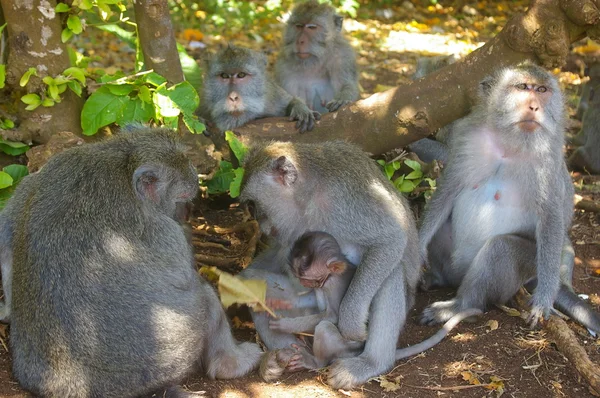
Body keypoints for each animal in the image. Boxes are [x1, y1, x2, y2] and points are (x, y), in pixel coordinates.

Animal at [0, 129, 262, 396]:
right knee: (203, 296)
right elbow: (182, 278)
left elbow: (6, 234)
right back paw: (230, 363)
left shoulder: (44, 173)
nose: (184, 215)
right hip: (172, 350)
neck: (125, 163)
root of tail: (76, 386)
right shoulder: (162, 230)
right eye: (181, 198)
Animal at [240, 140, 422, 388]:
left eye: (254, 204)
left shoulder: (346, 200)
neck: (307, 195)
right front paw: (242, 278)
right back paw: (281, 357)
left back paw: (370, 363)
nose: (261, 225)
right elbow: (273, 261)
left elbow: (390, 239)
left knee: (392, 272)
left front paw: (350, 322)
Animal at [418, 63, 600, 332]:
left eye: (542, 90)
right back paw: (435, 277)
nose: (534, 107)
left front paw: (543, 299)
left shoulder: (547, 163)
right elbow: (448, 190)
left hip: (529, 263)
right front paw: (417, 248)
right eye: (522, 87)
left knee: (501, 248)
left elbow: (551, 218)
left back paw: (459, 305)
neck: (509, 144)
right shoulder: (466, 140)